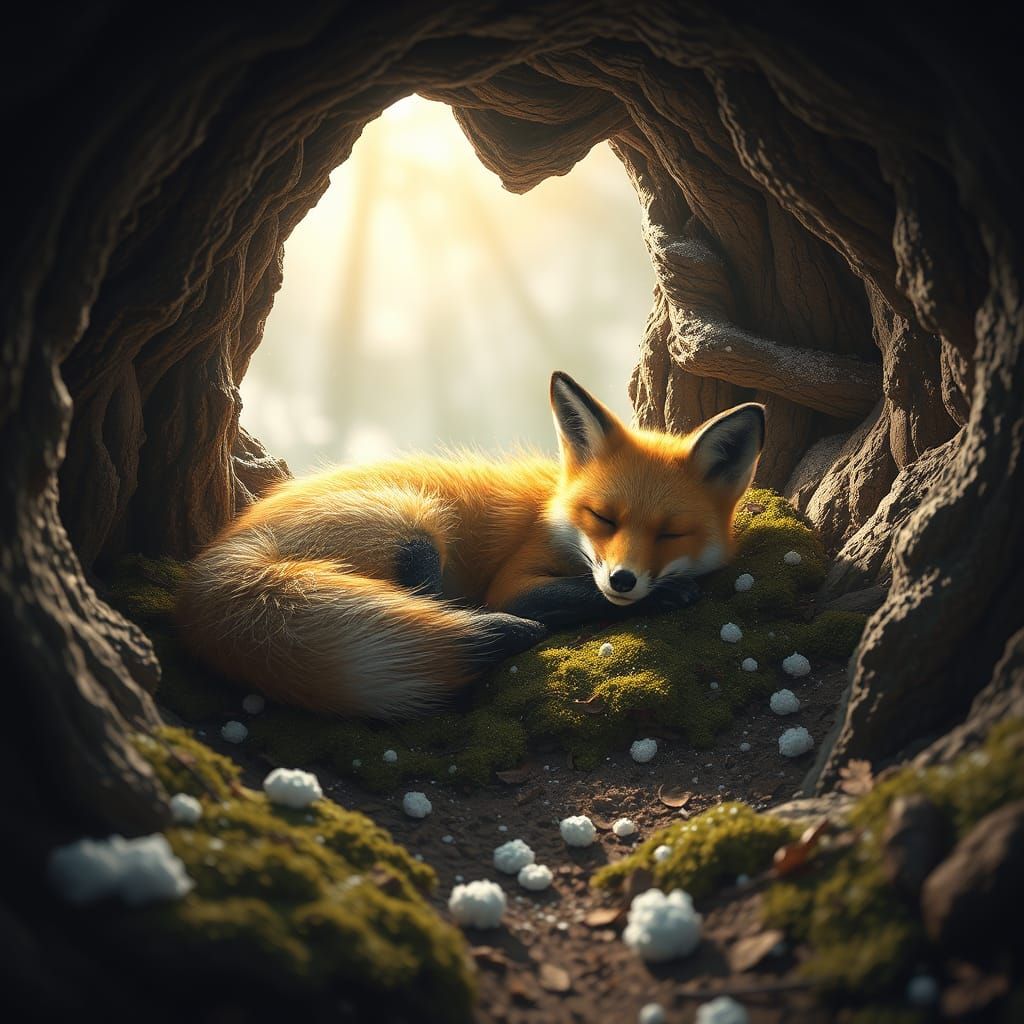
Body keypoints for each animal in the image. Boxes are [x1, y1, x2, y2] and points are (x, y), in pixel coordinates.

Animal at [176, 372, 765, 719]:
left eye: (670, 533)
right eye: (602, 517)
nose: (623, 579)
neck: (552, 510)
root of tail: (216, 560)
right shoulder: (515, 585)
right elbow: (577, 593)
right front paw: (663, 596)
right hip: (414, 522)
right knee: (439, 609)